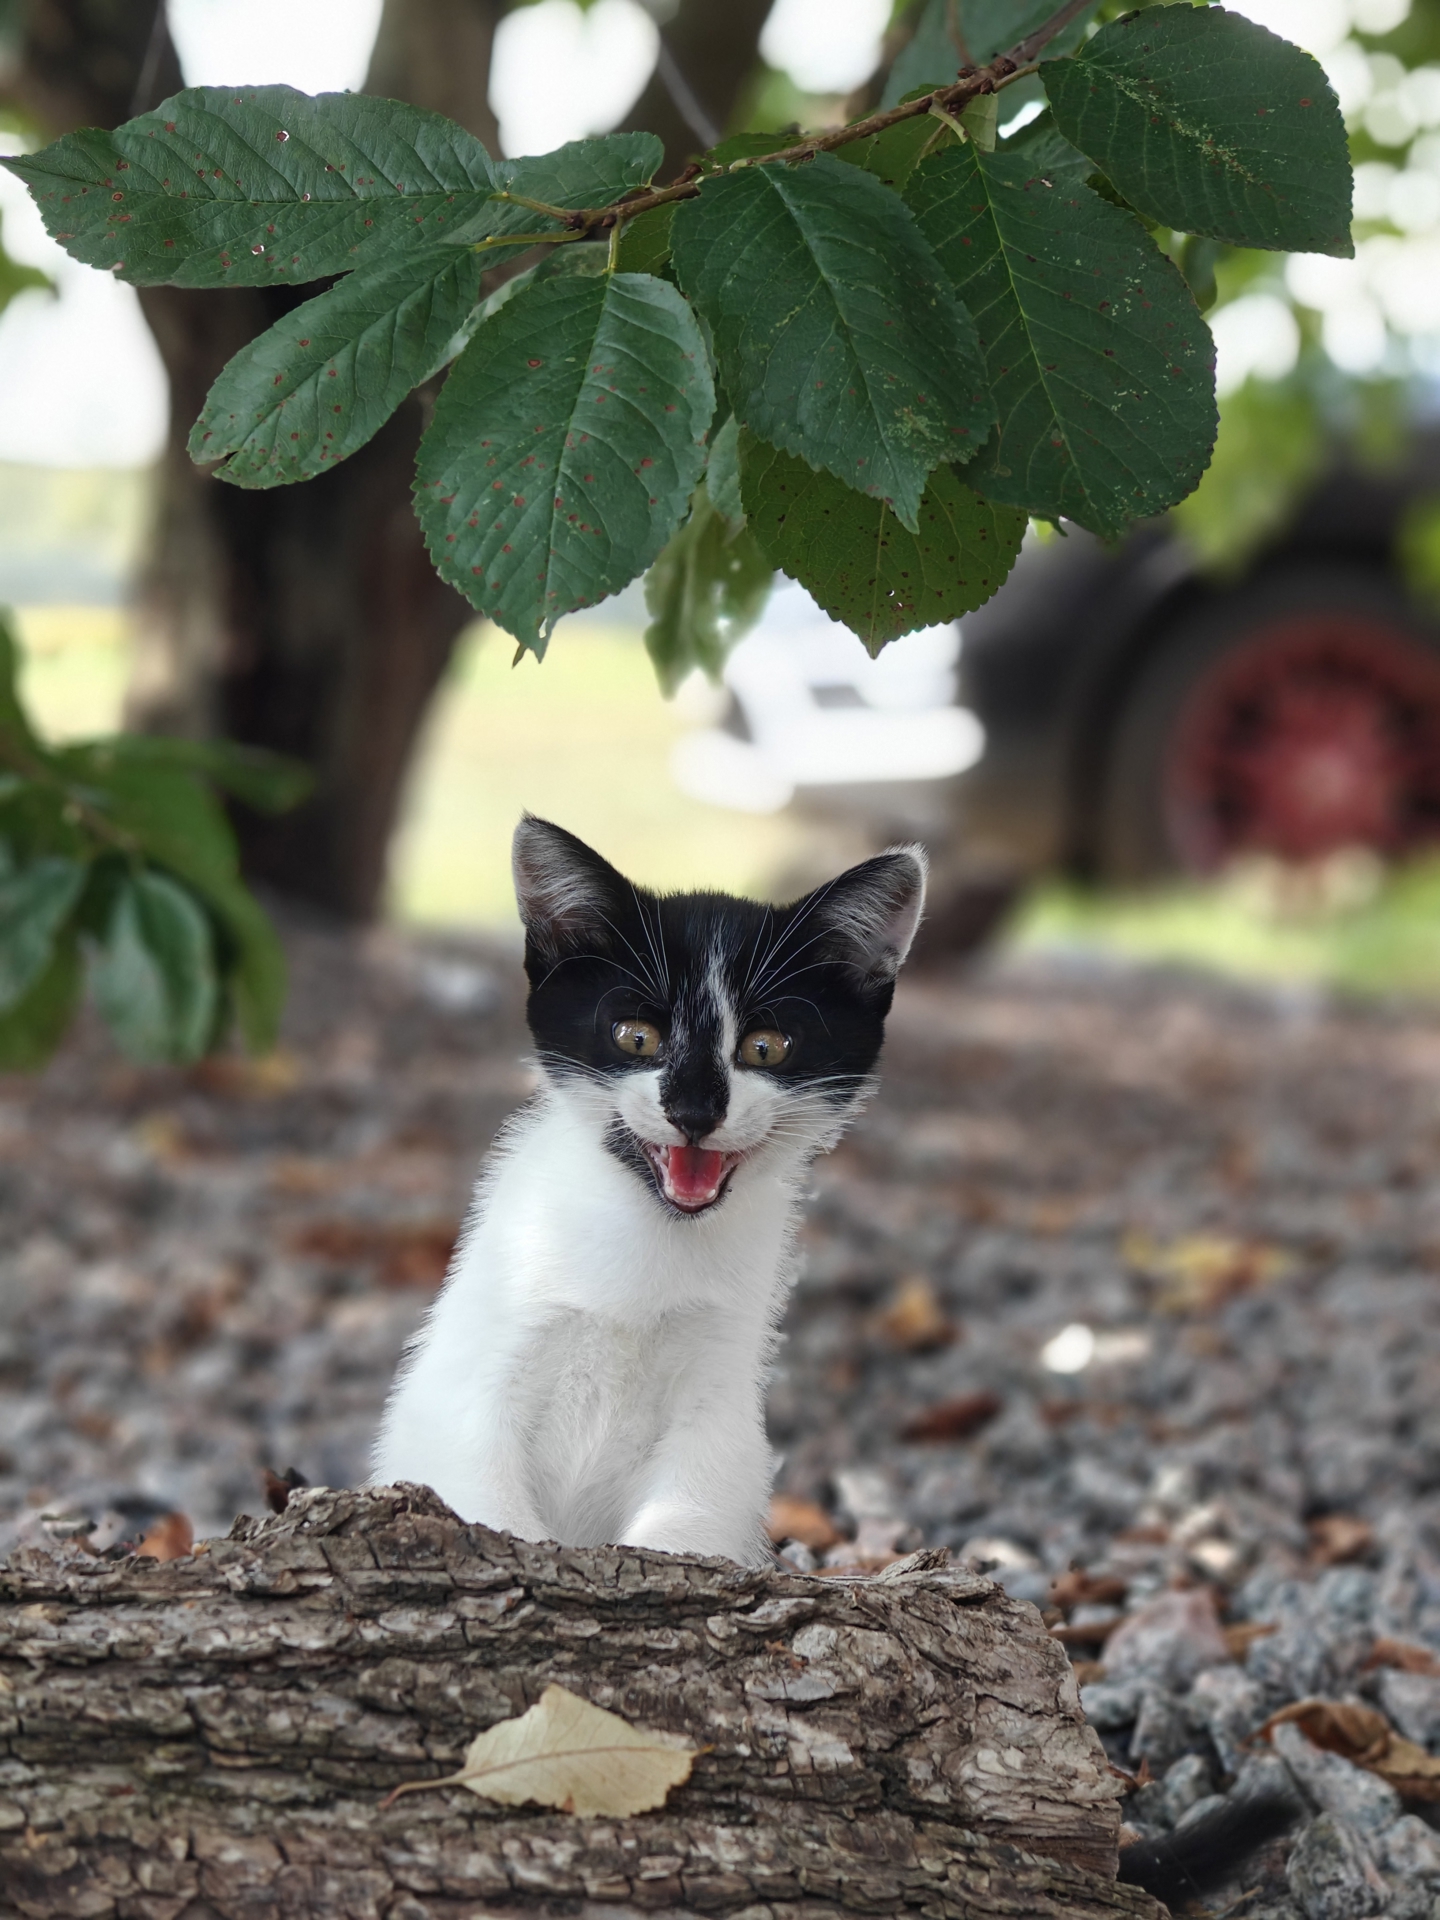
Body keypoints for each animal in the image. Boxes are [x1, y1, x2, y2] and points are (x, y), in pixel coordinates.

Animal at [372, 817, 929, 1566]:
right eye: (637, 1037)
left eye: (766, 1048)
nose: (694, 1111)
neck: (649, 1233)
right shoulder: (468, 1378)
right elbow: (482, 1493)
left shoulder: (720, 1396)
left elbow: (694, 1512)